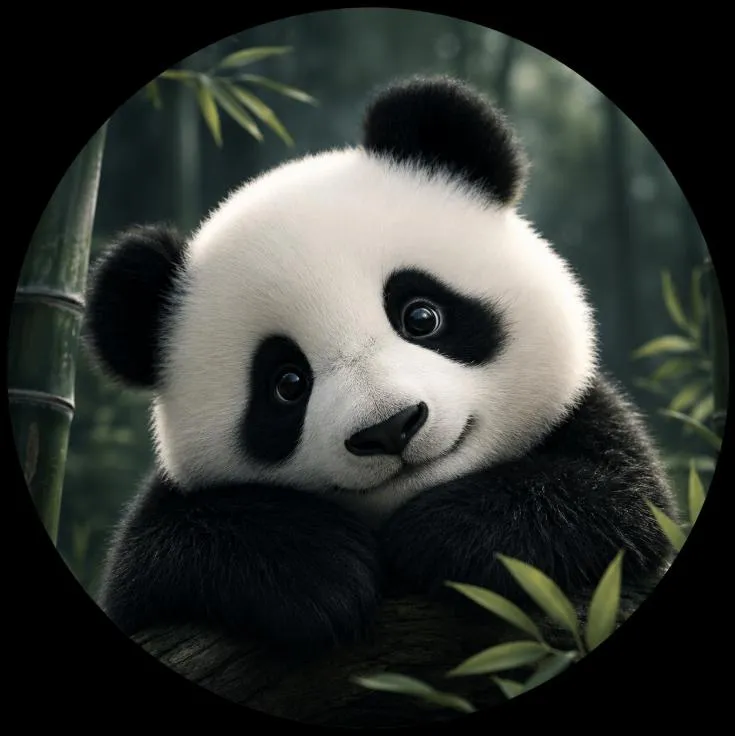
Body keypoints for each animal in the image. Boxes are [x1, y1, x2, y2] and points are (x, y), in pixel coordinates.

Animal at [85, 75, 676, 660]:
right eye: (287, 384)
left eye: (421, 316)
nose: (390, 427)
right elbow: (154, 558)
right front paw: (317, 567)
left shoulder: (596, 431)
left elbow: (622, 504)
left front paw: (446, 533)